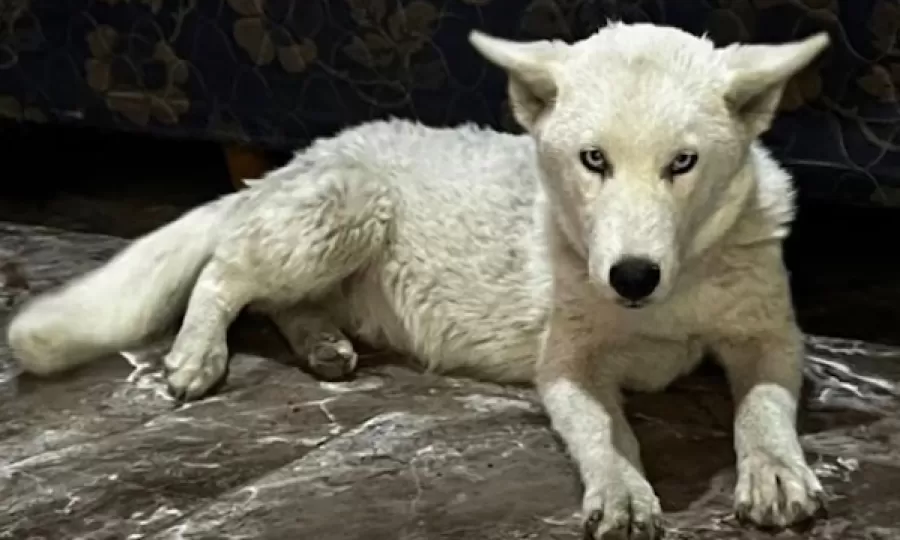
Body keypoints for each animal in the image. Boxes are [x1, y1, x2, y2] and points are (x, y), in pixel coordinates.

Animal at [7, 23, 830, 539]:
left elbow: (762, 408)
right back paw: (197, 355)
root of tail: (303, 153)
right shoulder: (567, 364)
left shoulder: (771, 338)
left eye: (683, 163)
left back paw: (323, 345)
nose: (630, 277)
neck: (675, 290)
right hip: (345, 209)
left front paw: (774, 473)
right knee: (225, 275)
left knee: (279, 302)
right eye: (593, 160)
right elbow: (606, 430)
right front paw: (624, 487)